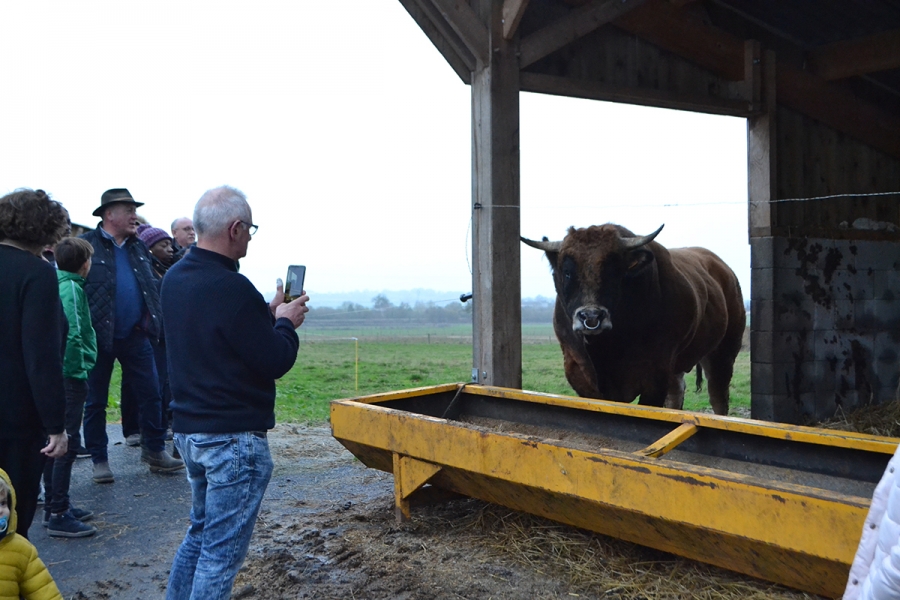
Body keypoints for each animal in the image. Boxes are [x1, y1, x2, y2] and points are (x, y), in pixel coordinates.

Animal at [520, 223, 744, 414]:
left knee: (718, 397)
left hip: (723, 354)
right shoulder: (579, 374)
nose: (591, 316)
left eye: (613, 271)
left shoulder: (656, 375)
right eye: (567, 273)